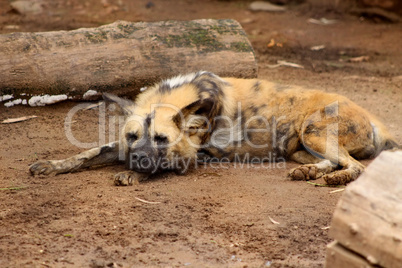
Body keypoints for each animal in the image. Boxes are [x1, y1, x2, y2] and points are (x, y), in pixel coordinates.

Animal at [29, 70, 400, 185]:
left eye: (161, 139)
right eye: (134, 137)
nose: (138, 160)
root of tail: (374, 118)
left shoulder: (190, 156)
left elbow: (162, 168)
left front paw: (132, 175)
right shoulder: (121, 146)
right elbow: (87, 154)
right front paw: (51, 165)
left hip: (313, 132)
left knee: (353, 166)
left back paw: (335, 179)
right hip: (298, 147)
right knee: (330, 161)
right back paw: (310, 173)